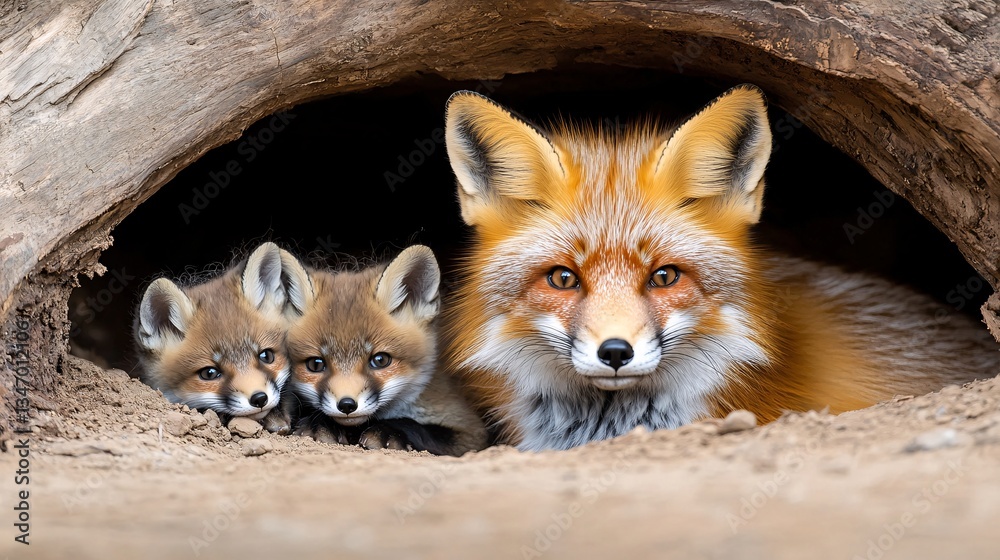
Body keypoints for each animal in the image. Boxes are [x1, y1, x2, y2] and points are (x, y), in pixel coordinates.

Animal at [284, 245, 488, 456]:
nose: (347, 405)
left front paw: (386, 431)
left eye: (380, 360)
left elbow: (415, 426)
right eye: (315, 364)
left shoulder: (471, 432)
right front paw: (321, 424)